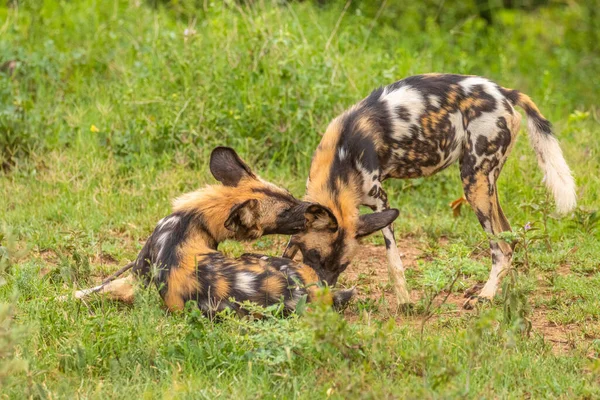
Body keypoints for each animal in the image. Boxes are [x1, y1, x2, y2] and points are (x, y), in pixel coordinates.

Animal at [284, 72, 576, 310]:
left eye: (342, 266)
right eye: (314, 258)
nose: (322, 294)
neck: (341, 158)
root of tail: (504, 92)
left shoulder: (381, 202)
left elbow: (393, 261)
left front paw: (404, 302)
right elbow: (287, 250)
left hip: (474, 184)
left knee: (501, 248)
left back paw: (484, 297)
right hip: (486, 186)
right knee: (510, 237)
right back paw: (498, 292)